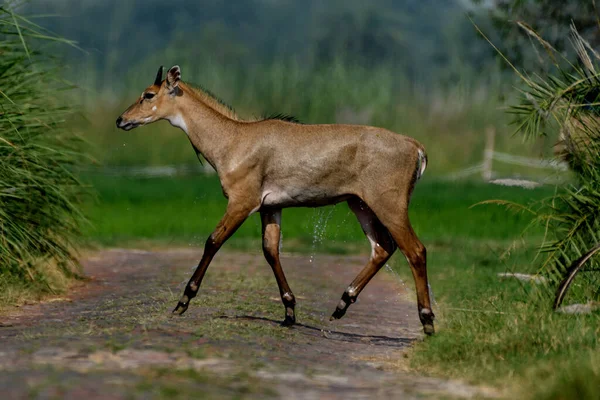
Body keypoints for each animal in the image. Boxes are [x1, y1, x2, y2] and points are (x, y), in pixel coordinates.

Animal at [116, 65, 436, 334]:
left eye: (148, 94)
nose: (121, 120)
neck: (233, 139)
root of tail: (417, 147)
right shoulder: (271, 207)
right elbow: (270, 250)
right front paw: (289, 312)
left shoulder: (242, 202)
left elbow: (213, 241)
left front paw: (182, 302)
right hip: (359, 204)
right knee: (382, 248)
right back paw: (341, 305)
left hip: (389, 204)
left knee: (415, 250)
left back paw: (427, 321)